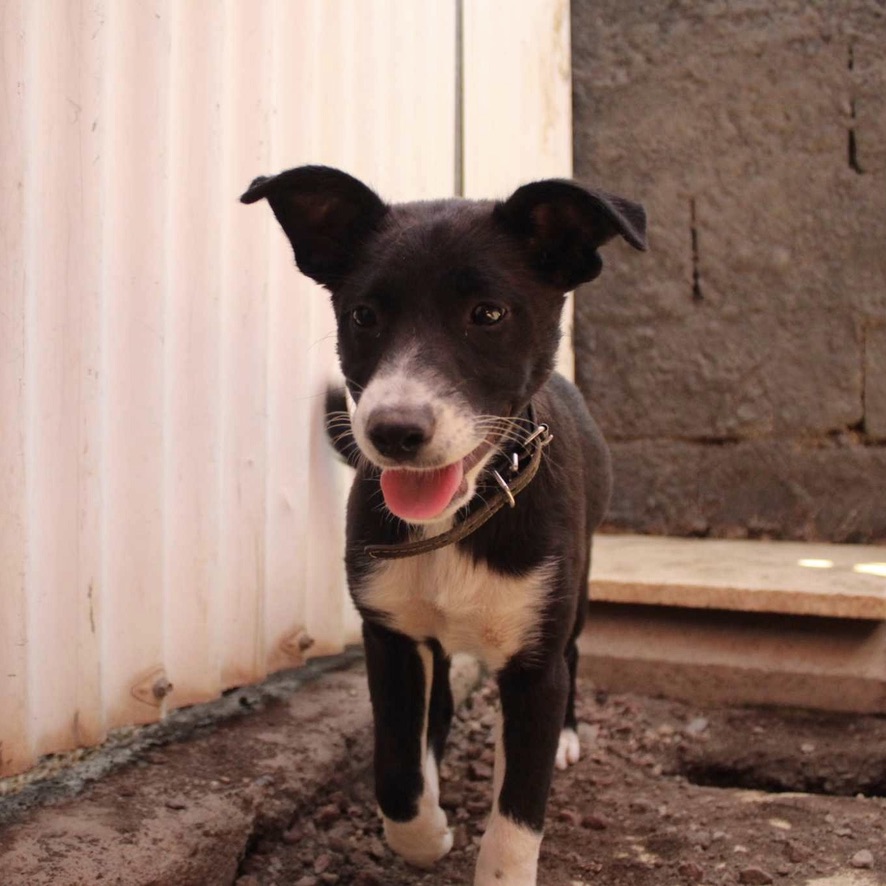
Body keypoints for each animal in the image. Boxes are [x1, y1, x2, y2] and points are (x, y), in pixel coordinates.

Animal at [241, 168, 644, 886]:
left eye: (488, 314)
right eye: (363, 316)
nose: (393, 432)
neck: (456, 522)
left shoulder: (533, 662)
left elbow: (518, 815)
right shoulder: (392, 637)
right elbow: (398, 769)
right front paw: (425, 836)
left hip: (578, 589)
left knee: (571, 654)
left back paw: (565, 738)